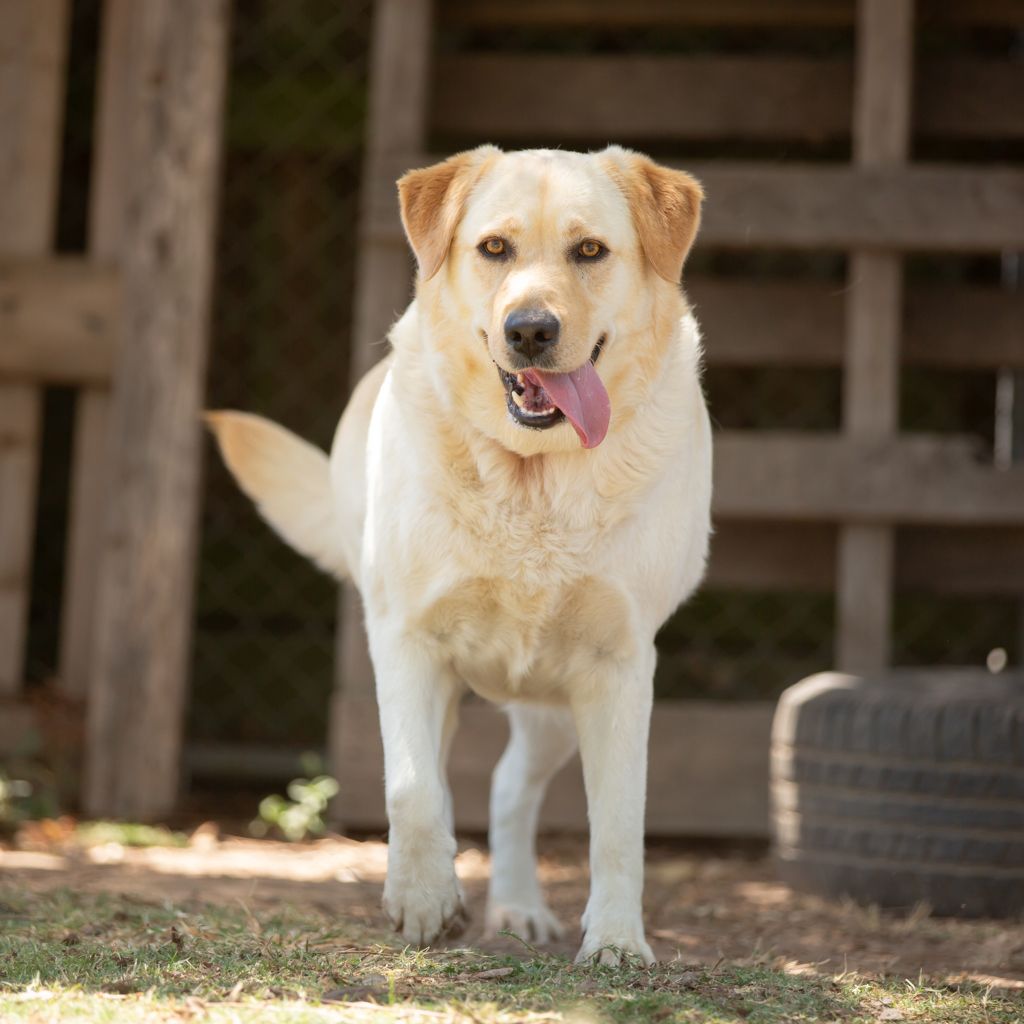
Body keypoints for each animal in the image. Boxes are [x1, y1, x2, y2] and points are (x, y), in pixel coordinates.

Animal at [207, 146, 712, 965]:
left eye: (590, 251)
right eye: (495, 248)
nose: (530, 330)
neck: (531, 477)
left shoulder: (620, 665)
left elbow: (618, 823)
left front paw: (615, 942)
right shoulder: (407, 640)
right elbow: (412, 789)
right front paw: (423, 901)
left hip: (551, 703)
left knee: (509, 785)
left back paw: (517, 906)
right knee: (443, 779)